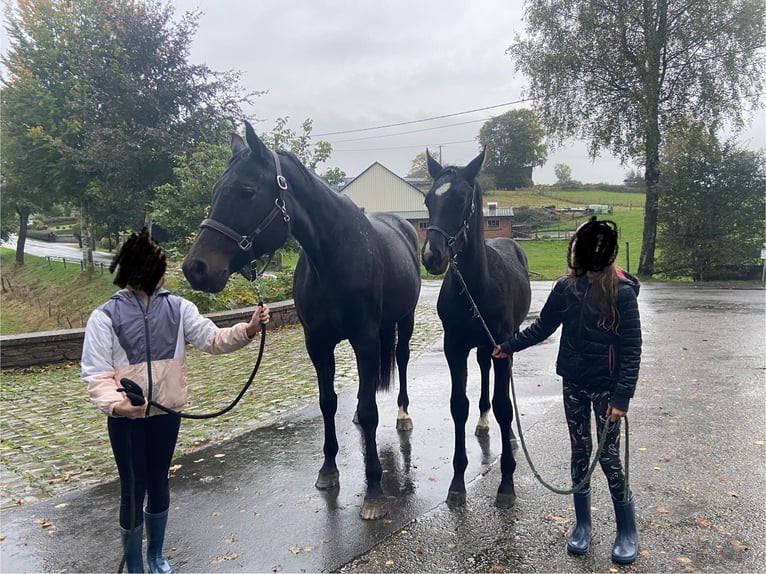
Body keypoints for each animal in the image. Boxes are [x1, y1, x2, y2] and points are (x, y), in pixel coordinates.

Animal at [183, 122, 424, 520]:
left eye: (246, 191)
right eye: (216, 192)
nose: (195, 268)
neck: (333, 258)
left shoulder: (364, 338)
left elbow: (371, 410)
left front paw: (374, 491)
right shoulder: (317, 342)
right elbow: (329, 402)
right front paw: (328, 471)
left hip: (404, 320)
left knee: (401, 359)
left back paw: (404, 414)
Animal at [420, 148, 536, 508]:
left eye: (460, 198)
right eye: (428, 199)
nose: (432, 256)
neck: (475, 286)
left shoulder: (502, 345)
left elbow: (504, 406)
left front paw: (507, 483)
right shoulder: (454, 347)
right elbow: (459, 405)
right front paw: (457, 483)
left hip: (504, 343)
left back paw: (507, 435)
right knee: (483, 370)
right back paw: (483, 424)